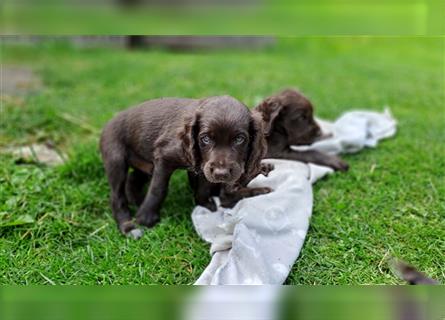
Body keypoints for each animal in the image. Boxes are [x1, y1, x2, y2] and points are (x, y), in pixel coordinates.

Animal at [99, 95, 268, 238]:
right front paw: (145, 217)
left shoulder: (203, 165)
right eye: (205, 139)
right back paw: (128, 226)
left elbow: (203, 186)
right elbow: (158, 189)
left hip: (145, 165)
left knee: (133, 179)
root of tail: (107, 123)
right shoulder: (164, 158)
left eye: (239, 139)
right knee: (117, 196)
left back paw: (137, 200)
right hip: (116, 158)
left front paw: (205, 204)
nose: (222, 174)